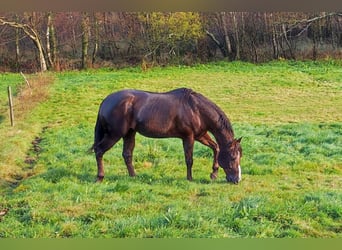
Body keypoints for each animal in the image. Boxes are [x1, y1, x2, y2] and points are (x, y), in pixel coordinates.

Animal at [93, 88, 243, 184]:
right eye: (233, 157)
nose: (237, 180)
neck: (196, 110)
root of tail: (106, 101)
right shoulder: (188, 137)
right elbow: (189, 159)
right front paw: (190, 179)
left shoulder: (201, 135)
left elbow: (216, 148)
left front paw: (214, 173)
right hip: (114, 135)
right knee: (99, 151)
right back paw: (100, 177)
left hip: (129, 133)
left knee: (127, 154)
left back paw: (133, 176)